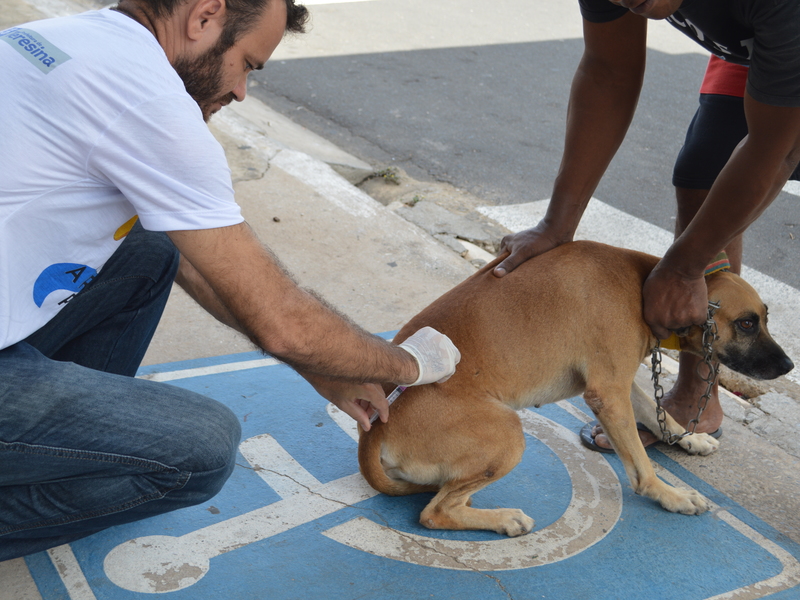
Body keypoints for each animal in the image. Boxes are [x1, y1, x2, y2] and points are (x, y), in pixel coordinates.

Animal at [360, 241, 792, 536]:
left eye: (765, 318)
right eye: (747, 323)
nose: (789, 366)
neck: (642, 283)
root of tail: (374, 430)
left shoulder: (621, 383)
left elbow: (658, 414)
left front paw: (691, 439)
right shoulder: (609, 392)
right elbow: (641, 465)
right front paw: (670, 494)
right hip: (507, 436)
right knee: (434, 513)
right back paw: (502, 519)